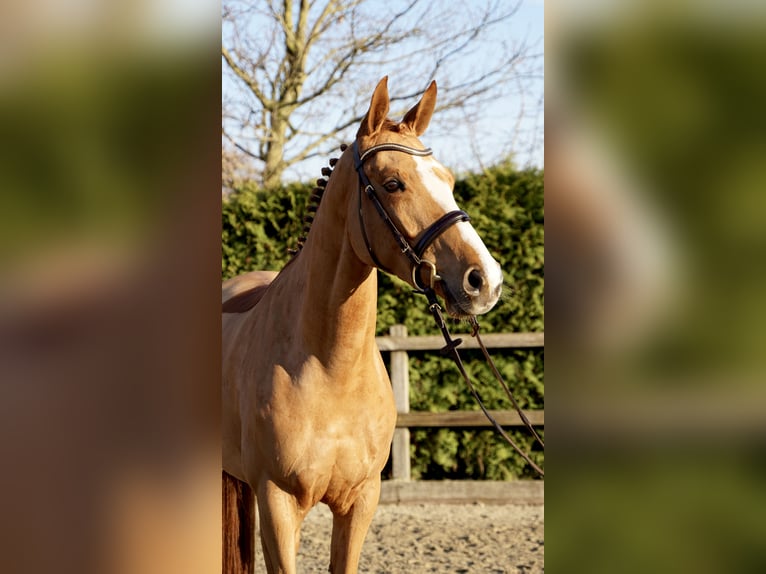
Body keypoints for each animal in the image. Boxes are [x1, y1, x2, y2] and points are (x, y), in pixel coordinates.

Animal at [222, 76, 504, 574]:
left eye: (449, 181)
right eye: (393, 183)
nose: (484, 279)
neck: (329, 370)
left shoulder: (360, 501)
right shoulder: (277, 504)